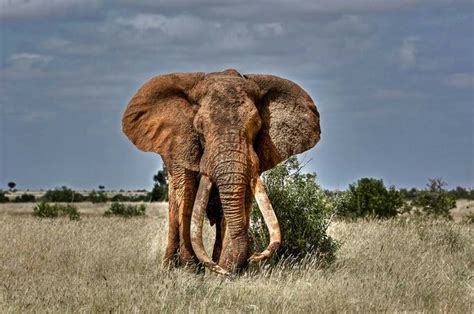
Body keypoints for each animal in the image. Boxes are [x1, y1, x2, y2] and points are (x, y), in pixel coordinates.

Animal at [124, 68, 320, 274]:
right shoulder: (181, 145)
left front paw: (227, 271)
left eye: (257, 125)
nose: (254, 256)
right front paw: (191, 271)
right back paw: (171, 267)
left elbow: (243, 199)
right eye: (199, 127)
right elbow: (187, 196)